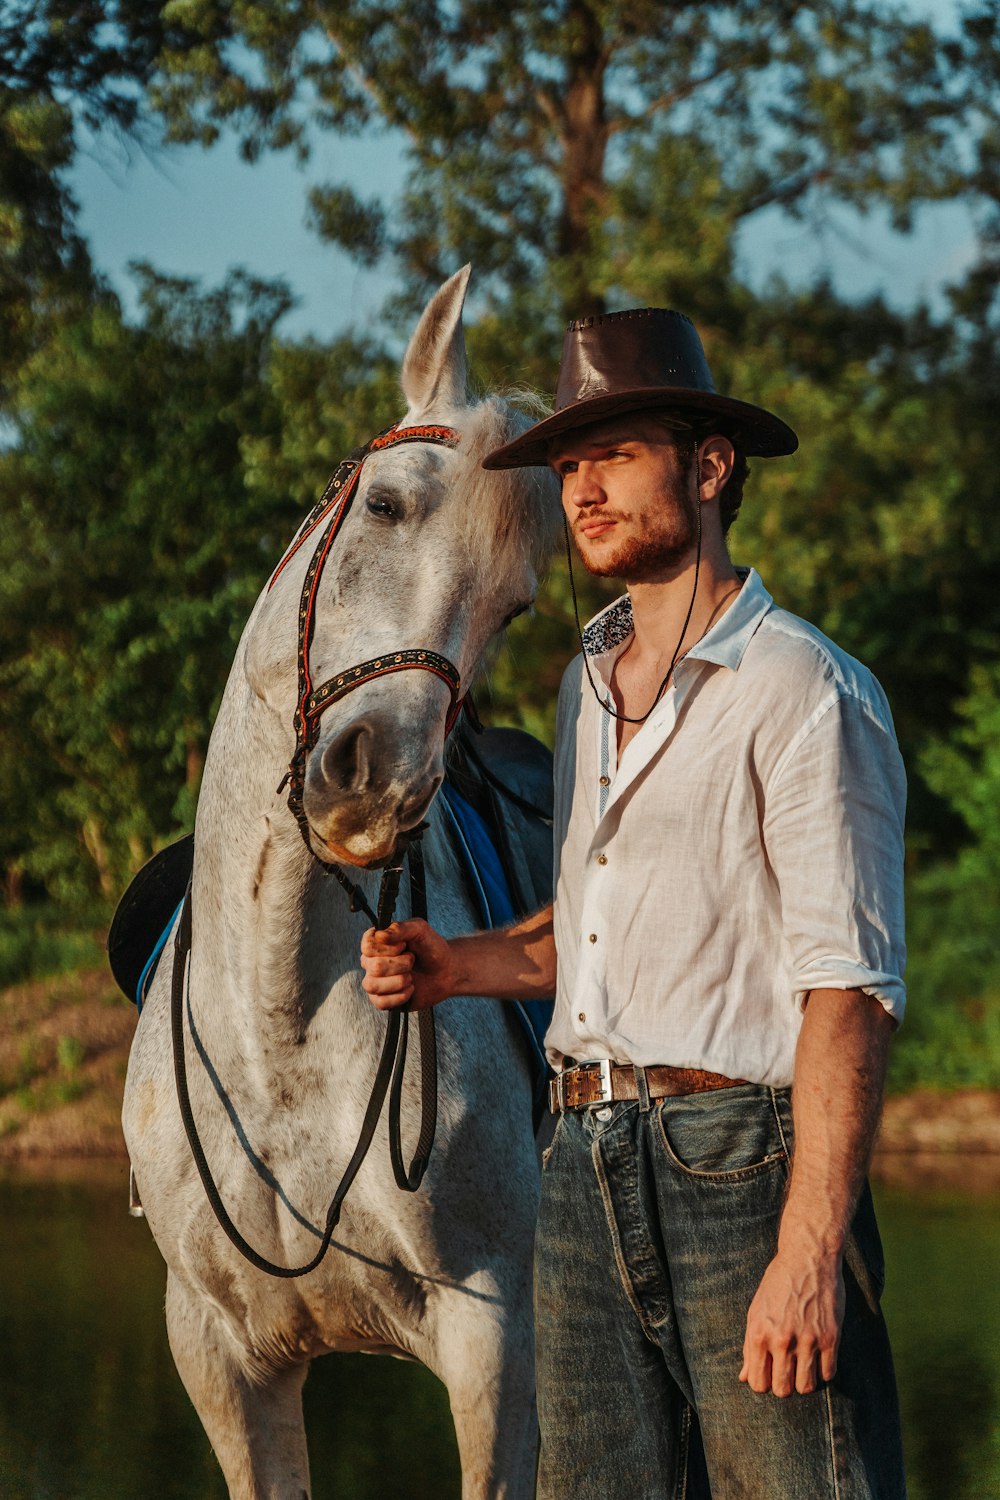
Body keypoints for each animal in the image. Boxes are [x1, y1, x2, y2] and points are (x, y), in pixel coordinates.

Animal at [119, 270, 560, 1500]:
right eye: (386, 507)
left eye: (512, 605)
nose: (372, 784)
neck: (279, 1018)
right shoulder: (220, 1355)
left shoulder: (493, 1340)